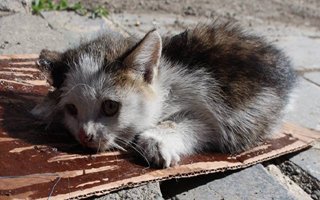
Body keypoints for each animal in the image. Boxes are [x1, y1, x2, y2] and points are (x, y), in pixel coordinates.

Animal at [31, 22, 296, 168]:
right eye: (72, 109)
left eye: (110, 107)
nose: (85, 135)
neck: (167, 86)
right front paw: (46, 107)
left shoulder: (226, 117)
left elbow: (200, 124)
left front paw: (157, 141)